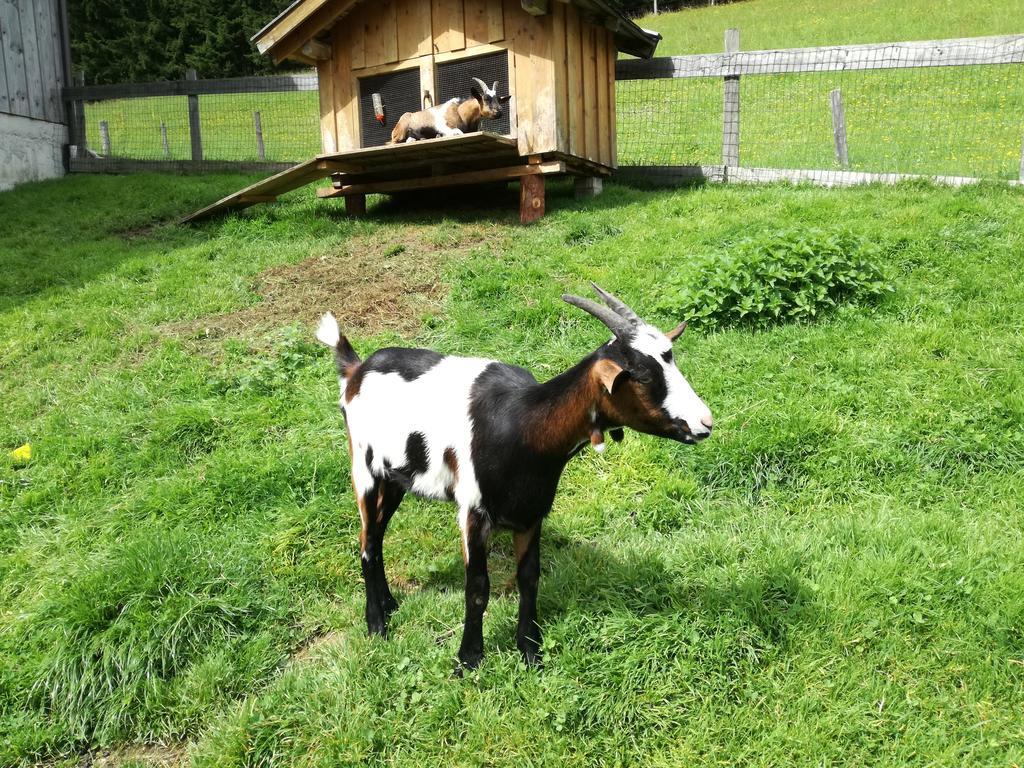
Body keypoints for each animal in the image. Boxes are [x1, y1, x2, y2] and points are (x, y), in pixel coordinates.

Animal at [313, 284, 712, 671]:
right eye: (642, 375)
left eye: (671, 360)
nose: (705, 423)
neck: (522, 424)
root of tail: (356, 370)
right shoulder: (473, 511)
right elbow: (477, 588)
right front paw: (469, 659)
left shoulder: (531, 511)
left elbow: (529, 578)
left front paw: (530, 650)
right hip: (363, 467)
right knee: (367, 541)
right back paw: (377, 624)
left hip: (396, 476)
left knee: (377, 534)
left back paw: (390, 603)